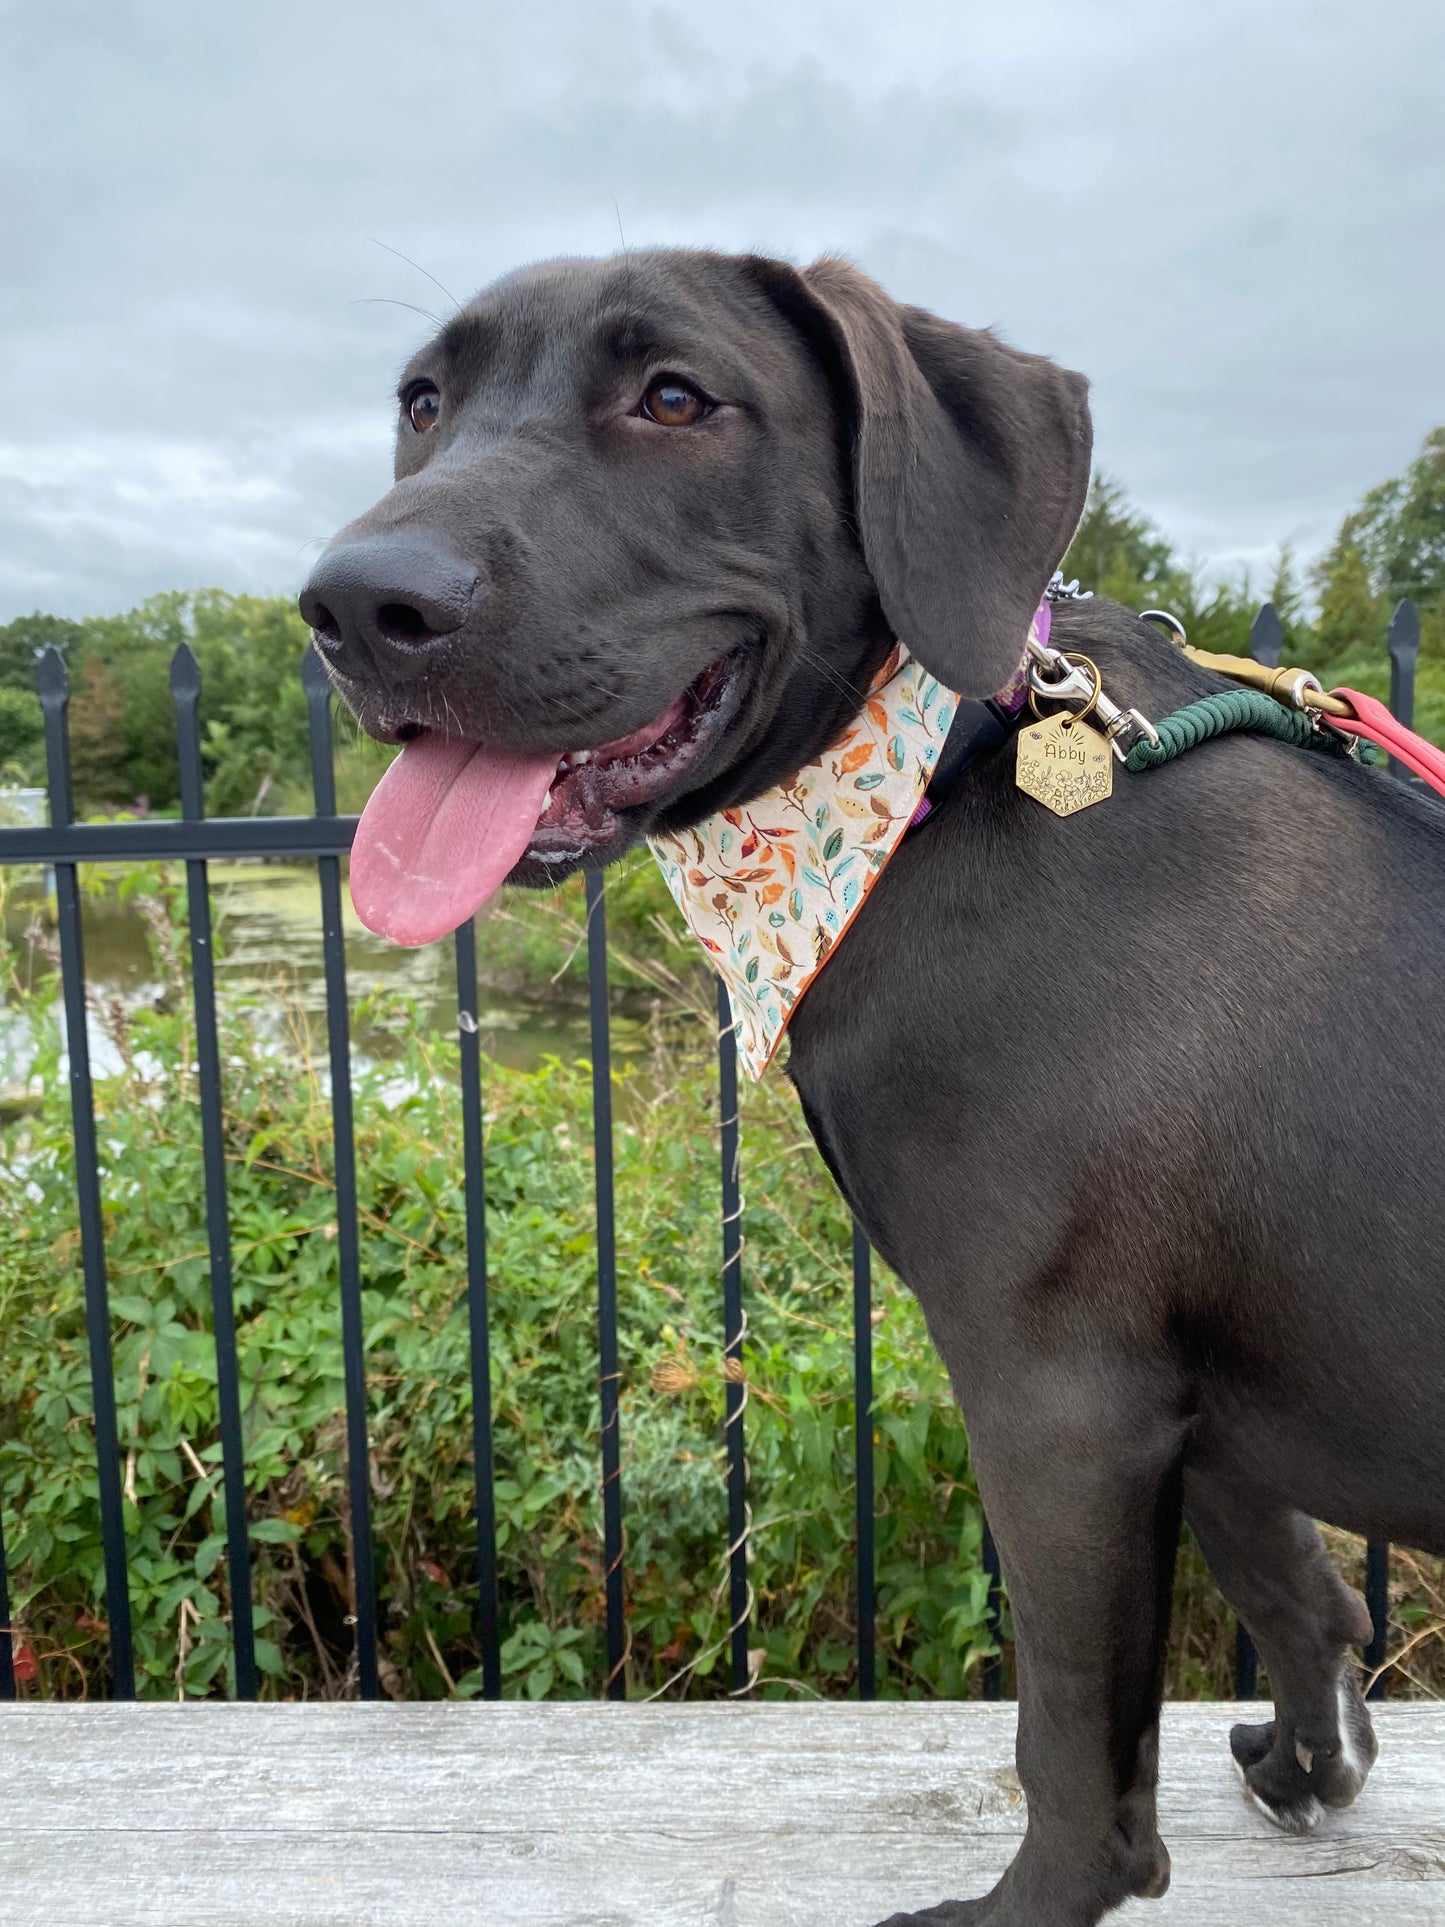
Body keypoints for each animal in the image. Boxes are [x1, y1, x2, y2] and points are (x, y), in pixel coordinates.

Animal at [296, 248, 1445, 1919]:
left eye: (676, 399)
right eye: (423, 402)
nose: (355, 604)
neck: (935, 773)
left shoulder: (1056, 1395)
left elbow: (1071, 1737)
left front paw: (1033, 1900)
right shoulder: (1179, 1375)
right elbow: (1290, 1580)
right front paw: (1310, 1757)